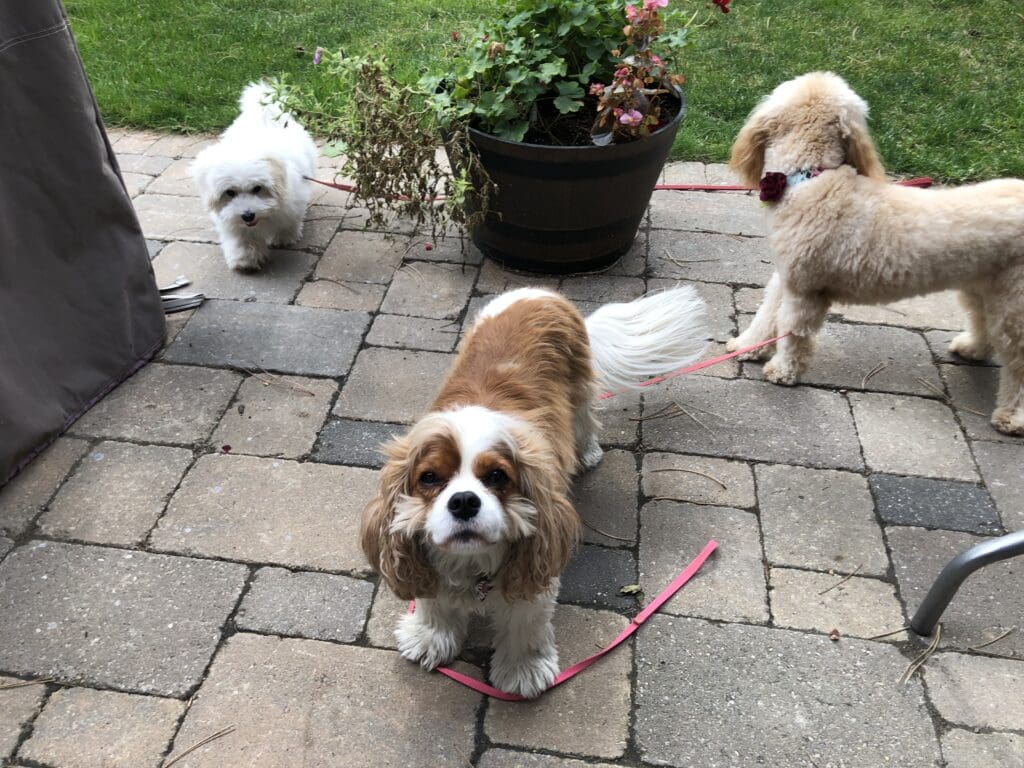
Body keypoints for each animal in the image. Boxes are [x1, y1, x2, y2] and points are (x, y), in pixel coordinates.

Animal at [188, 82, 315, 270]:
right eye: (230, 192)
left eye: (257, 188)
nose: (248, 215)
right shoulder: (232, 220)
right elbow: (242, 239)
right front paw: (245, 259)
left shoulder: (293, 202)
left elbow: (289, 221)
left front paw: (284, 238)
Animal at [724, 72, 1024, 436]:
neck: (812, 178)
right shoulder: (786, 278)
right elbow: (766, 316)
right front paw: (747, 346)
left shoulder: (806, 292)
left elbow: (794, 334)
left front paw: (783, 371)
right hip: (983, 285)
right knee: (983, 321)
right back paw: (971, 349)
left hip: (1014, 304)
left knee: (1018, 361)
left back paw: (1011, 417)